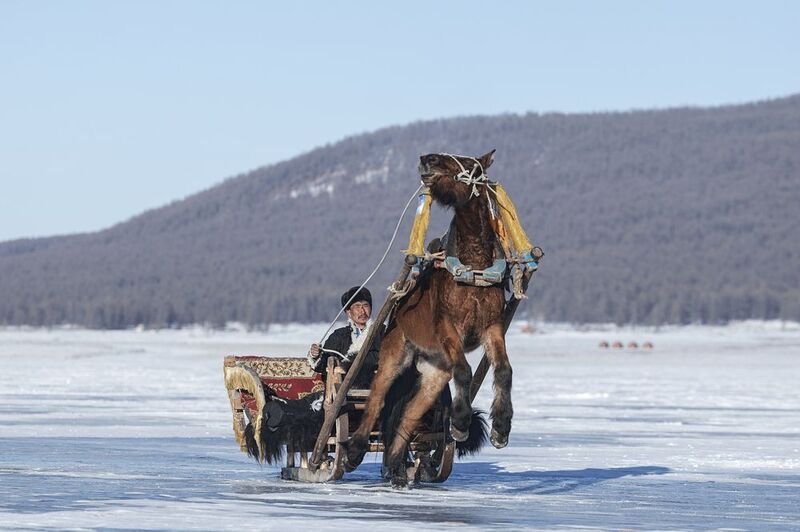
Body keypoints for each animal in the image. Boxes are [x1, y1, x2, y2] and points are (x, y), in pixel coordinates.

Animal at [344, 150, 514, 487]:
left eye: (471, 165)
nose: (428, 158)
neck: (474, 267)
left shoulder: (492, 326)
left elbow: (503, 370)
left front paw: (501, 428)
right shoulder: (448, 327)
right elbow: (464, 370)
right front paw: (460, 423)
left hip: (434, 373)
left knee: (408, 415)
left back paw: (396, 466)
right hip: (395, 355)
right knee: (377, 400)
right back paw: (355, 449)